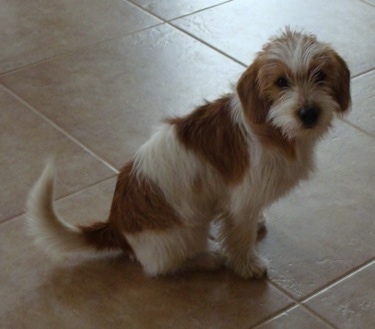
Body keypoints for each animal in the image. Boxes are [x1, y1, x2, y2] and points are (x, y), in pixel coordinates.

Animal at [27, 29, 352, 278]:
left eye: (320, 75)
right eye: (281, 82)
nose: (309, 113)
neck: (275, 128)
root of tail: (116, 226)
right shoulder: (242, 200)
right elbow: (241, 235)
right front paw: (247, 265)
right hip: (187, 230)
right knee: (160, 267)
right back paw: (207, 258)